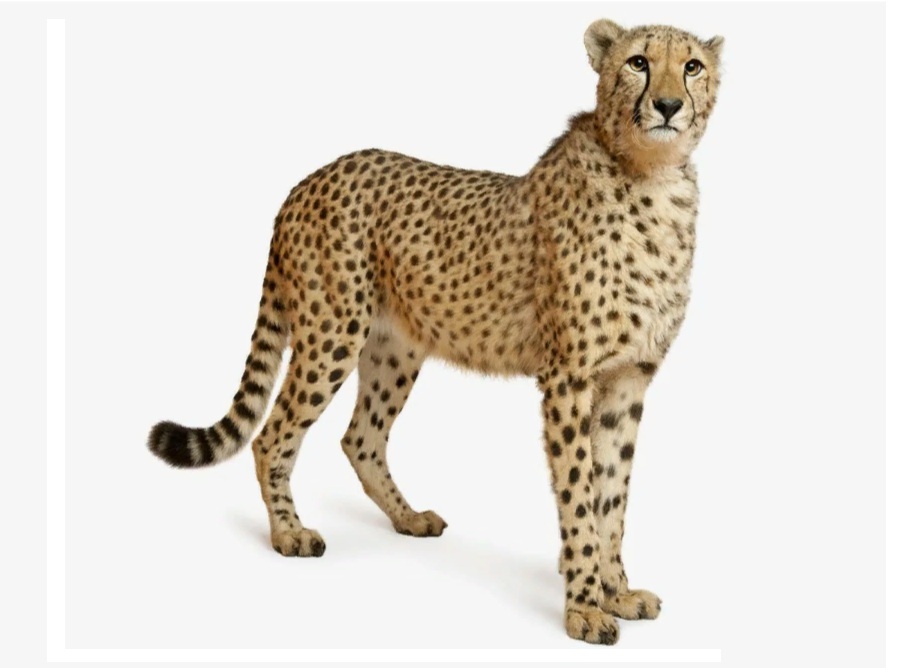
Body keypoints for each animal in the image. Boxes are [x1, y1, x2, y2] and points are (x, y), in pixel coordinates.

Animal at [148, 19, 723, 645]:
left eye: (692, 66)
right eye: (638, 62)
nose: (667, 105)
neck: (650, 176)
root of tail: (310, 179)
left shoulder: (628, 378)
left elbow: (611, 494)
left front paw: (617, 591)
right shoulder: (568, 378)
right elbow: (578, 493)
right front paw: (584, 608)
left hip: (394, 348)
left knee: (360, 437)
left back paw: (408, 518)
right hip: (332, 333)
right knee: (272, 435)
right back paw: (289, 534)